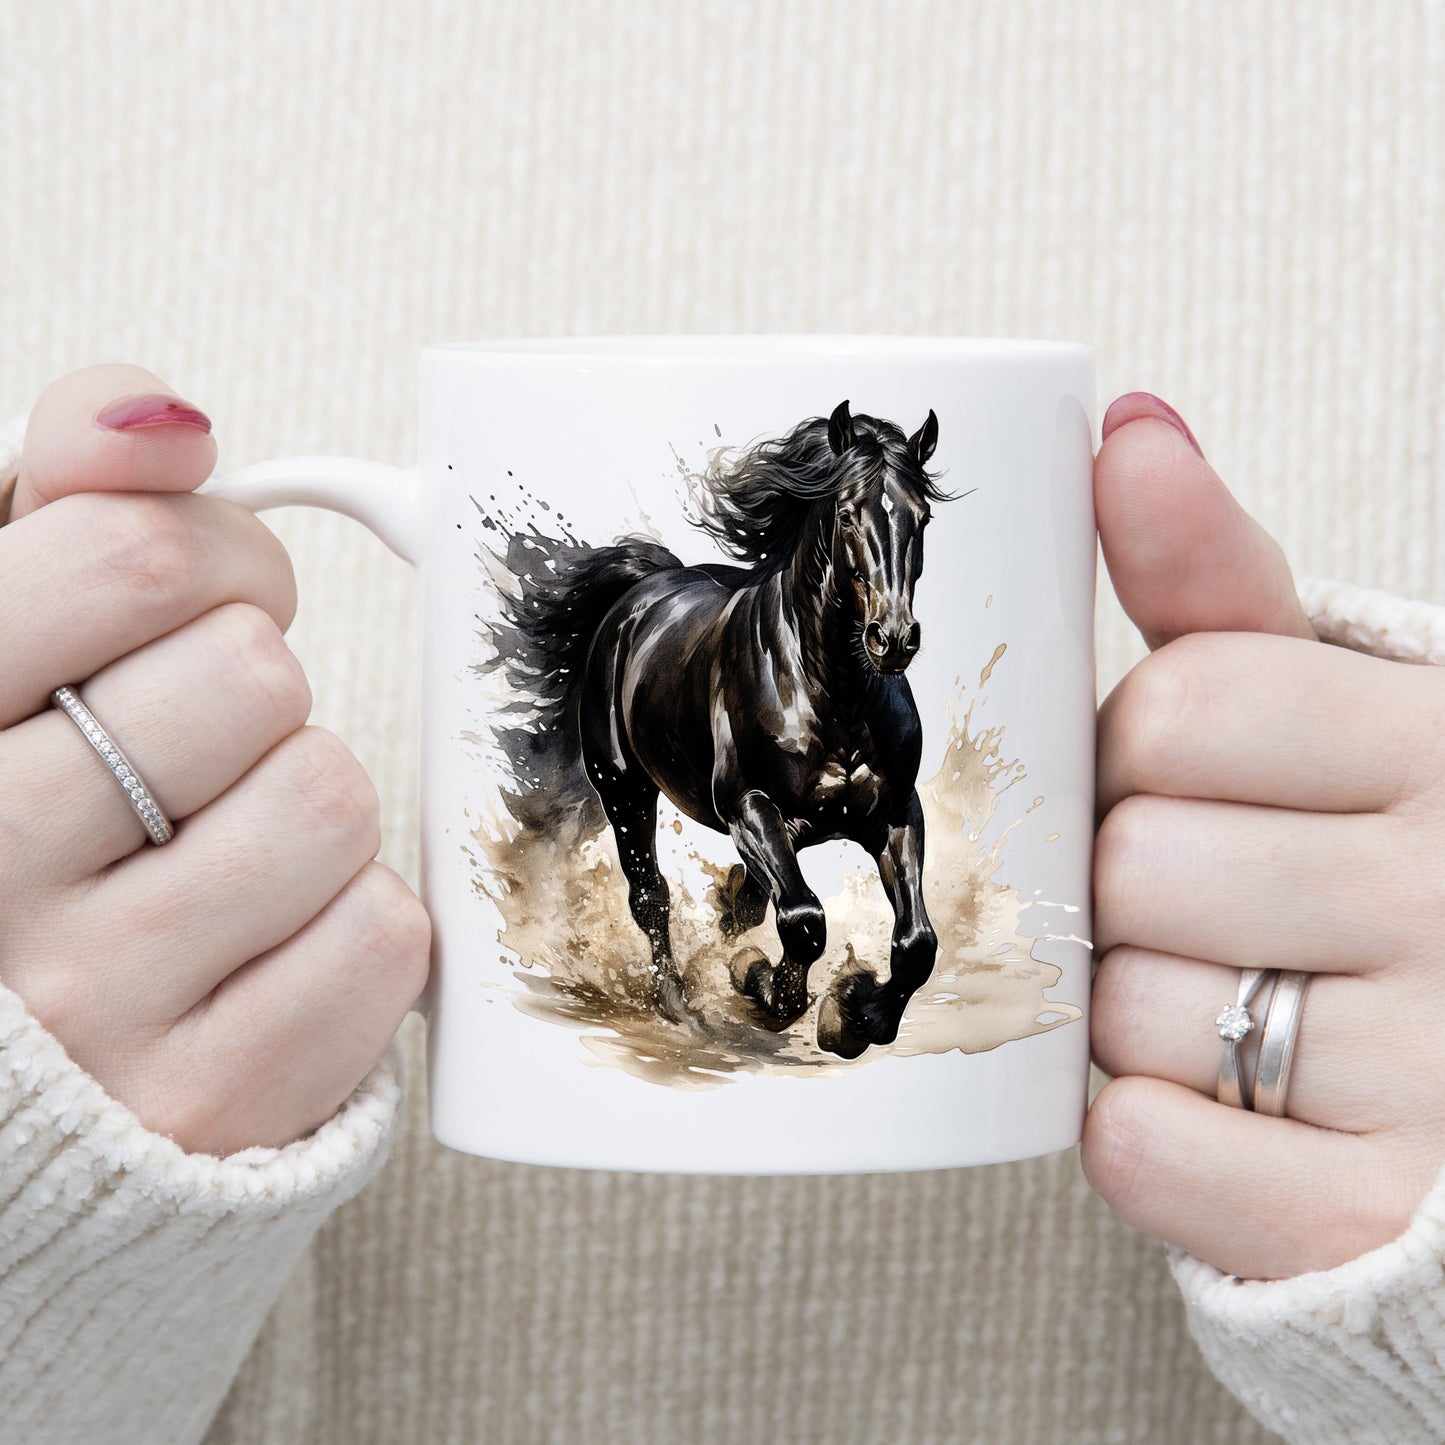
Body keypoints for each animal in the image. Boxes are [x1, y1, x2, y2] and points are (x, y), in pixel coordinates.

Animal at [487, 400, 948, 1059]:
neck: (834, 696)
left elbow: (916, 946)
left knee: (751, 897)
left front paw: (857, 1018)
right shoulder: (747, 805)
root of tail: (637, 598)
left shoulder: (894, 811)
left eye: (923, 517)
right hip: (625, 792)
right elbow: (804, 923)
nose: (893, 638)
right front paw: (768, 989)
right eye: (845, 514)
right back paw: (678, 1005)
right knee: (652, 899)